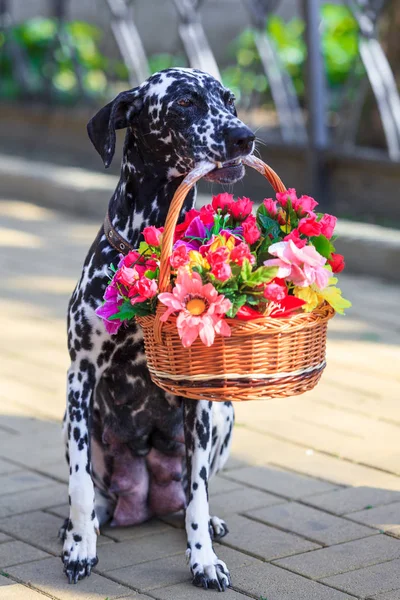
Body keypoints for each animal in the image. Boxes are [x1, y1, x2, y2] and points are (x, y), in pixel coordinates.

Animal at [61, 69, 255, 592]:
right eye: (185, 102)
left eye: (229, 99)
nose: (244, 136)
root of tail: (144, 496)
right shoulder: (80, 375)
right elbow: (79, 484)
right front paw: (80, 548)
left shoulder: (200, 396)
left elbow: (199, 494)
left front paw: (203, 560)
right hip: (73, 420)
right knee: (93, 491)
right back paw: (85, 525)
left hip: (223, 412)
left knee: (191, 493)